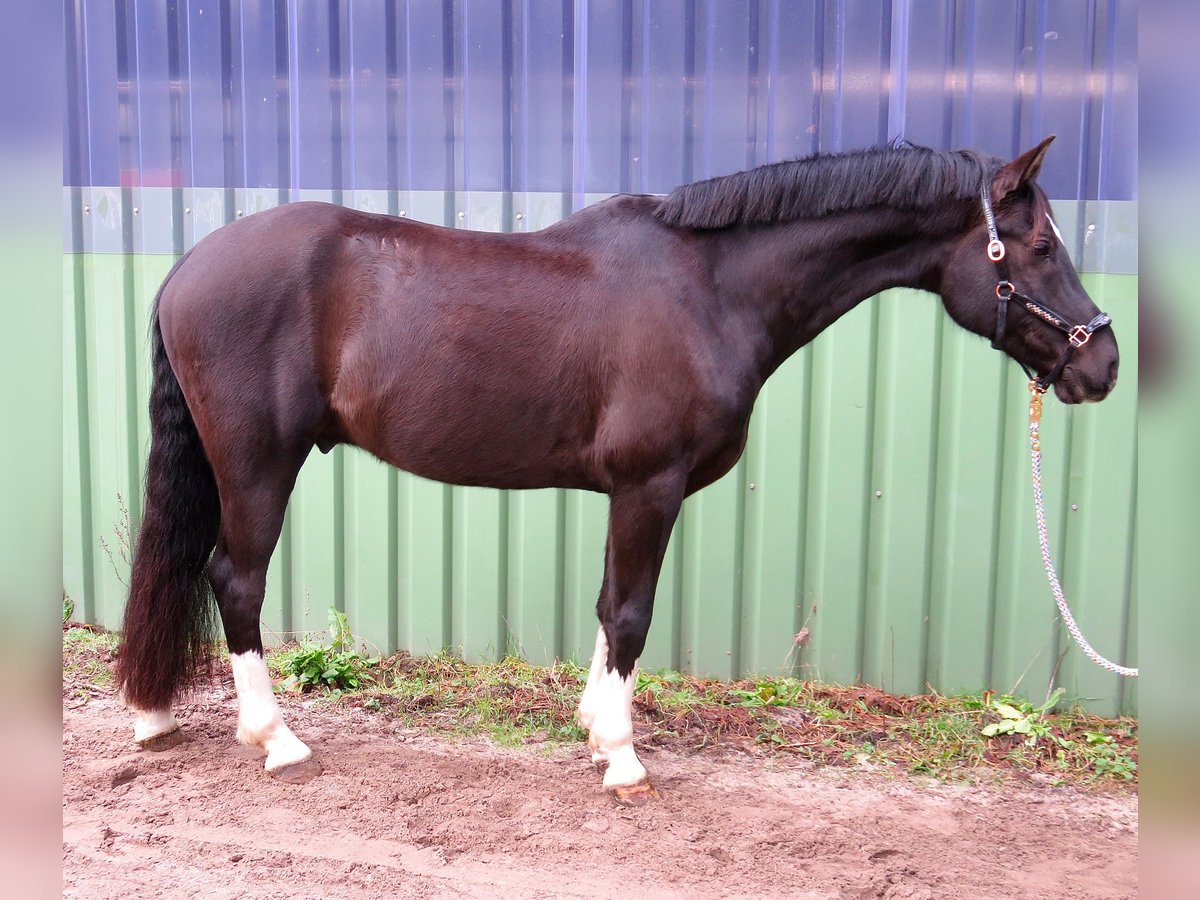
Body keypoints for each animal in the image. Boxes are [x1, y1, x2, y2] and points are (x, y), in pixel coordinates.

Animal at [114, 137, 1113, 806]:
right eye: (1038, 247)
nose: (1100, 363)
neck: (710, 288)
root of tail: (186, 269)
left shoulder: (627, 494)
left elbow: (605, 609)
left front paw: (597, 733)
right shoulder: (649, 485)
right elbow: (631, 614)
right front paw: (626, 760)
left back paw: (157, 716)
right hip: (258, 465)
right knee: (234, 581)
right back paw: (276, 741)